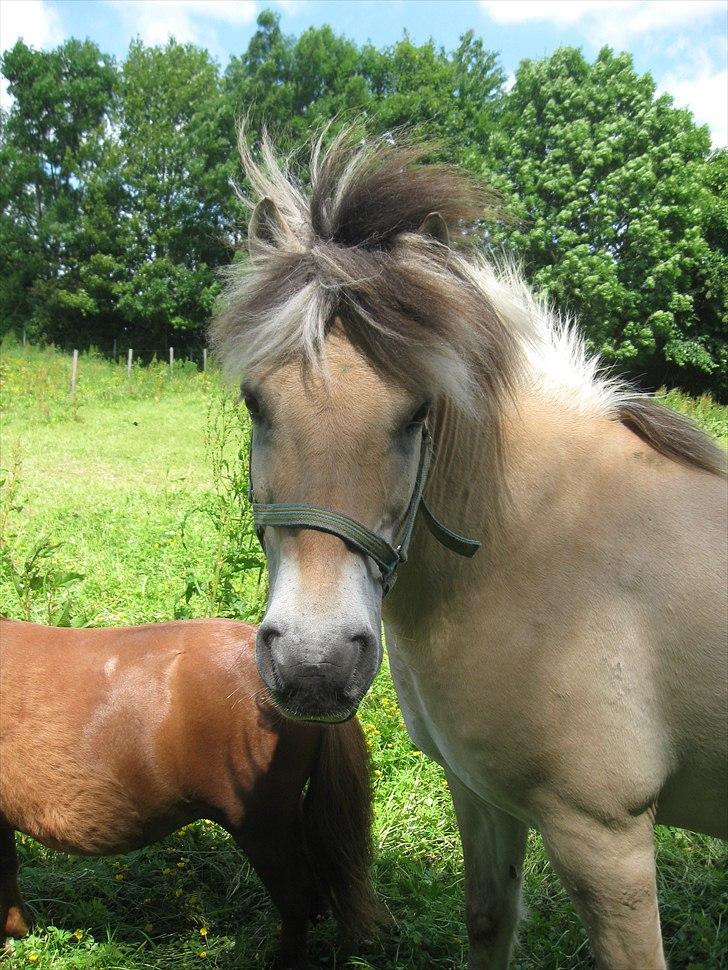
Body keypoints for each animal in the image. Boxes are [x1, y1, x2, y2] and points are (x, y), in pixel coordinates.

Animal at [212, 130, 728, 968]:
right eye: (256, 401)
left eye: (418, 411)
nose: (315, 666)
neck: (536, 549)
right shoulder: (482, 798)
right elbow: (488, 922)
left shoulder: (606, 838)